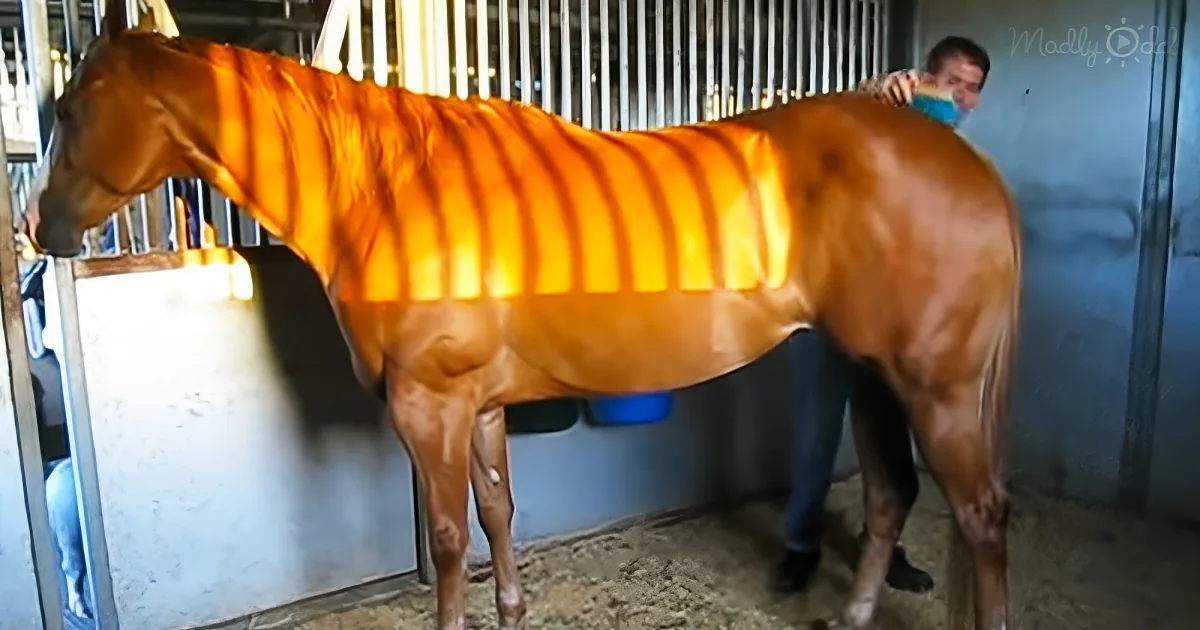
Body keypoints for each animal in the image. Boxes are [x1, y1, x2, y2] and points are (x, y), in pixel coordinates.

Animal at [21, 2, 1021, 628]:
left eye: (74, 104)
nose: (37, 229)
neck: (387, 187)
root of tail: (966, 164)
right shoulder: (481, 406)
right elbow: (500, 515)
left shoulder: (429, 406)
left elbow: (449, 539)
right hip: (871, 374)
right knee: (891, 495)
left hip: (935, 389)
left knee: (980, 516)